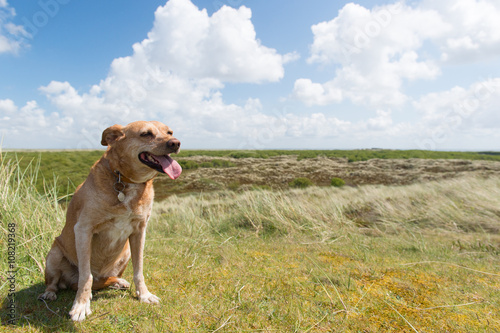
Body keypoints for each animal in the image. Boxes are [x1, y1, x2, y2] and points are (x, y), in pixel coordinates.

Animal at [38, 119, 182, 320]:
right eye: (146, 134)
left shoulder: (139, 231)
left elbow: (139, 270)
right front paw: (81, 306)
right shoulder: (83, 230)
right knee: (56, 282)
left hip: (125, 253)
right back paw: (50, 293)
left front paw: (144, 295)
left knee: (106, 279)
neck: (126, 181)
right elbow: (86, 276)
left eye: (170, 132)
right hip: (54, 254)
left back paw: (117, 282)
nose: (176, 143)